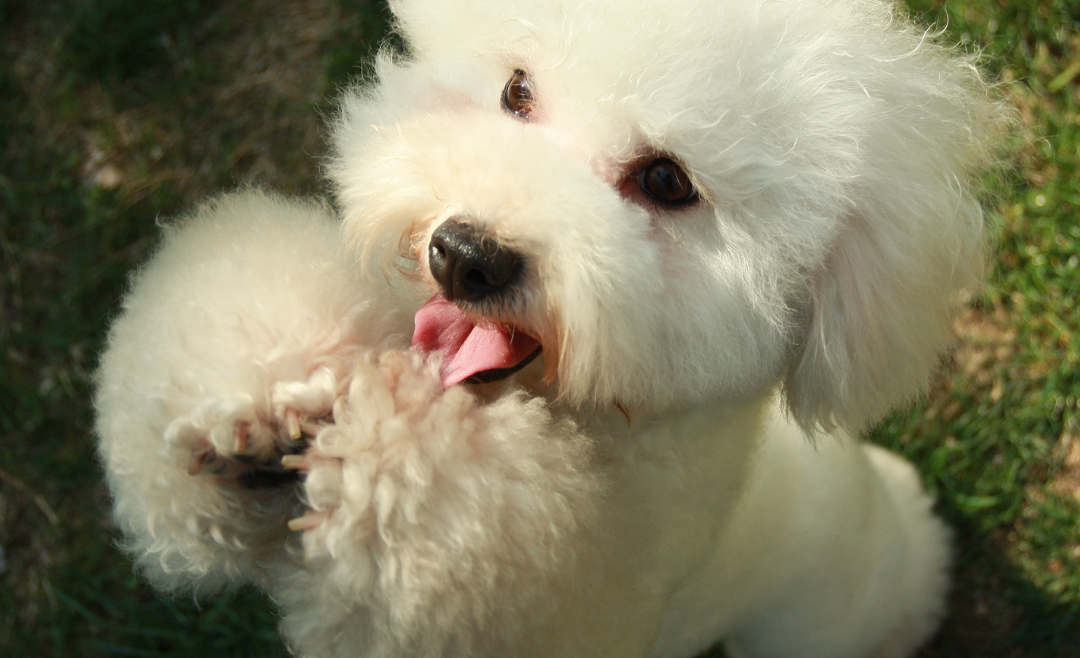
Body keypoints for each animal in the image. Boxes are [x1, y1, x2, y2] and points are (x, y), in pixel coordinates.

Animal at [92, 1, 1002, 656]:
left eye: (667, 181)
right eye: (516, 93)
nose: (464, 255)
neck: (587, 418)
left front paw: (375, 452)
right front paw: (253, 418)